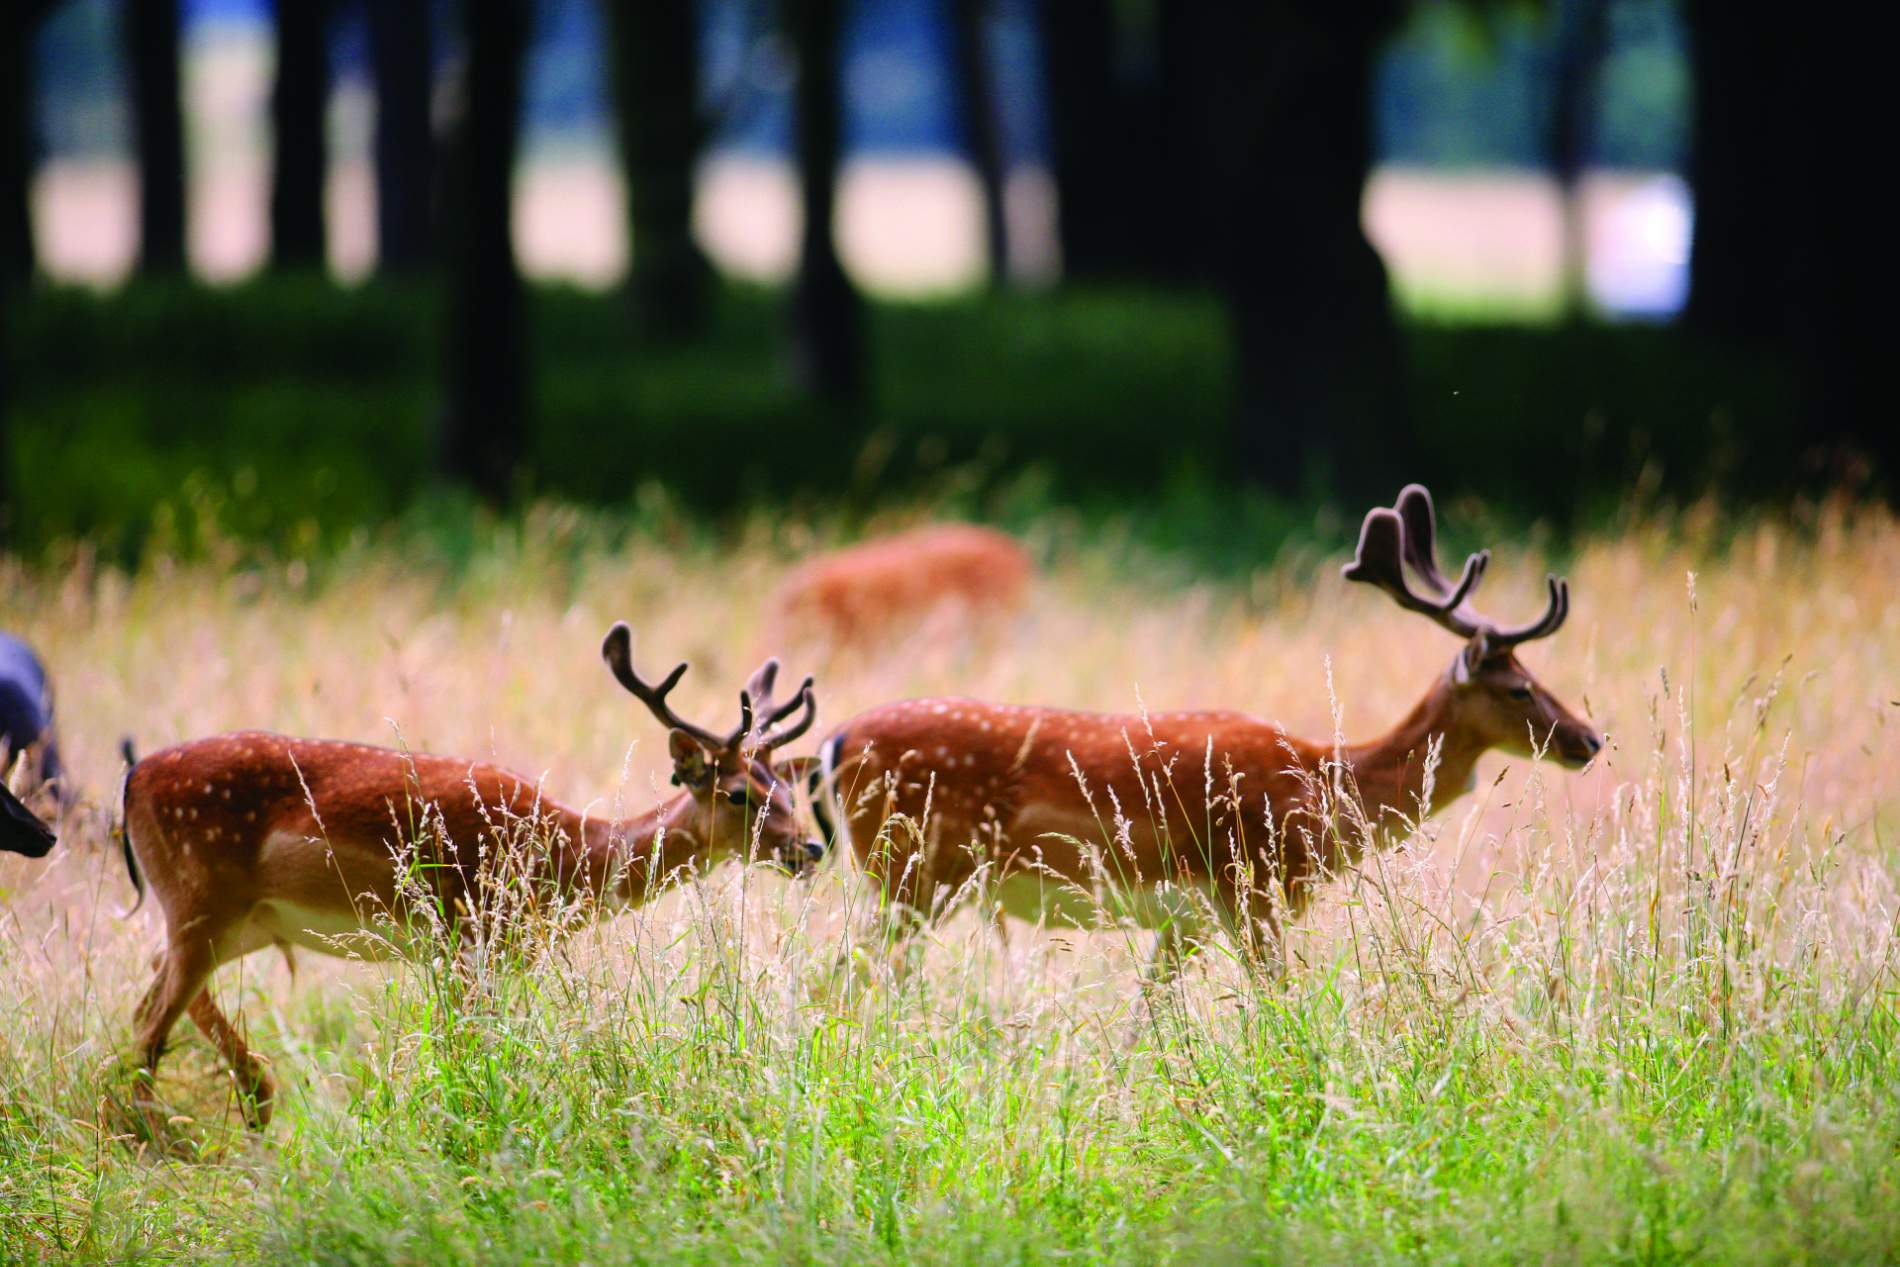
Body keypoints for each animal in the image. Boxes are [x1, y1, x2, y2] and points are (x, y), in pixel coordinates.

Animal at [116, 624, 822, 1130]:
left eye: (787, 787)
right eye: (738, 793)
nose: (811, 847)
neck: (565, 857)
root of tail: (131, 779)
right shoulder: (466, 934)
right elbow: (469, 1044)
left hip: (239, 922)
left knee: (155, 992)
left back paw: (254, 1100)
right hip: (200, 895)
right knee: (148, 1025)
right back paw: (163, 1138)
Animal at [808, 486, 1602, 976]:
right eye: (1520, 687)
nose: (1589, 739)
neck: (1328, 788)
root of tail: (832, 742)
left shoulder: (1186, 920)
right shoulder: (1256, 888)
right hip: (911, 869)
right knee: (844, 977)